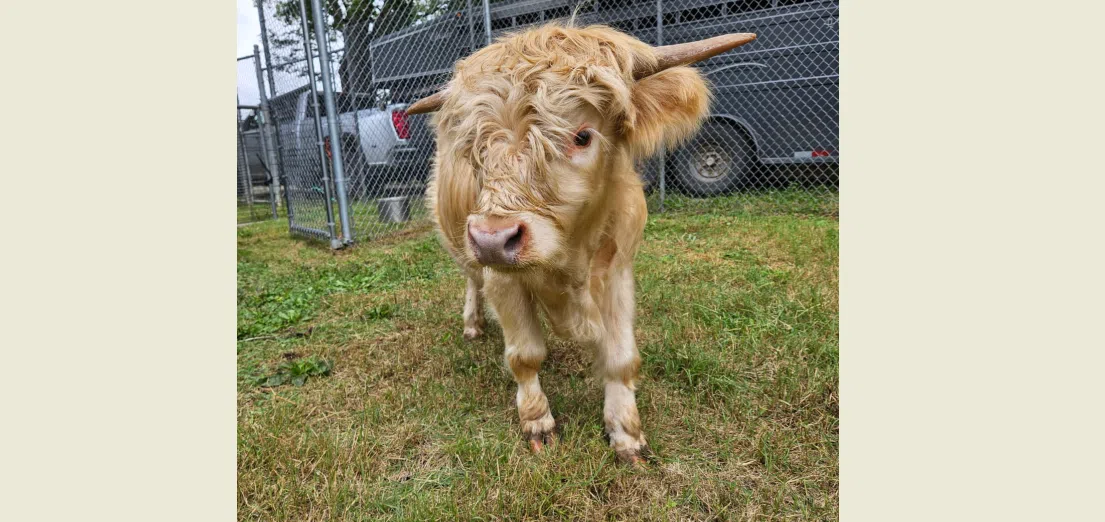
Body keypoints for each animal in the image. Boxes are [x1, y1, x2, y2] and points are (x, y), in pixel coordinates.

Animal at [406, 23, 756, 464]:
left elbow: (622, 358)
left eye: (583, 136)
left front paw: (626, 433)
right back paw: (473, 324)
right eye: (475, 148)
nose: (492, 239)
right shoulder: (502, 278)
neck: (569, 259)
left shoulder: (619, 270)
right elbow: (525, 355)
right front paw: (538, 421)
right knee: (470, 278)